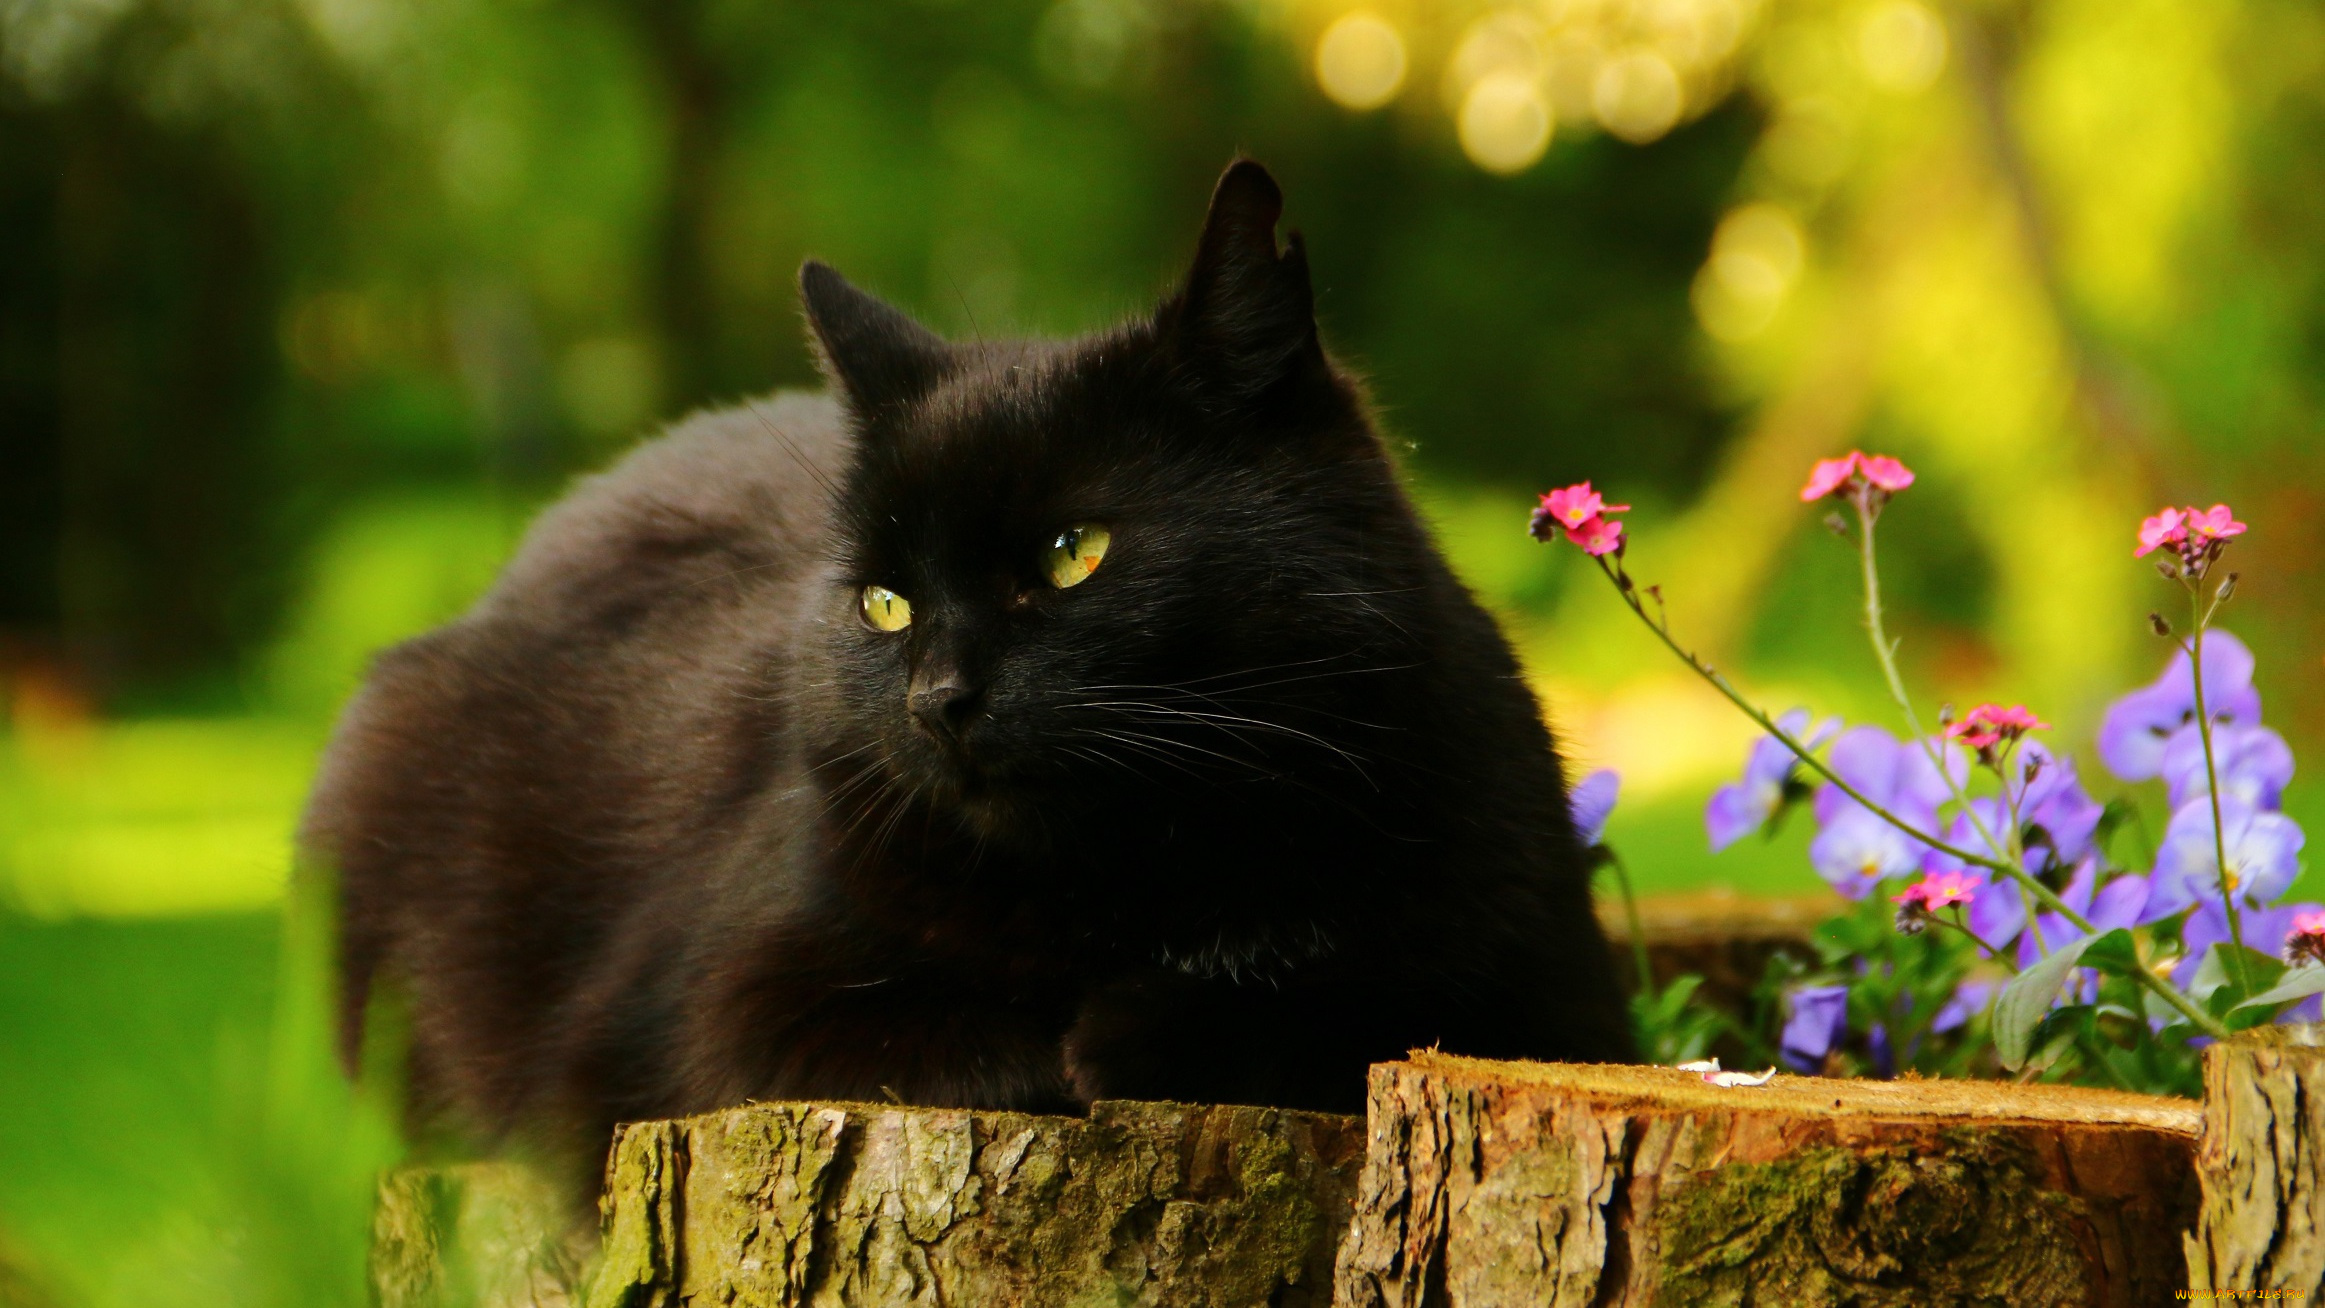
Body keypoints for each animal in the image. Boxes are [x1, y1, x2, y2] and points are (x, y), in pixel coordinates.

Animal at [309, 159, 1636, 1170]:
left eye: (1073, 553)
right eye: (883, 603)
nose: (938, 698)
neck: (1142, 886)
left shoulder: (1552, 988)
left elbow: (1381, 1000)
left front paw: (1146, 1027)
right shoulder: (703, 1018)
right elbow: (911, 1035)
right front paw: (1062, 1044)